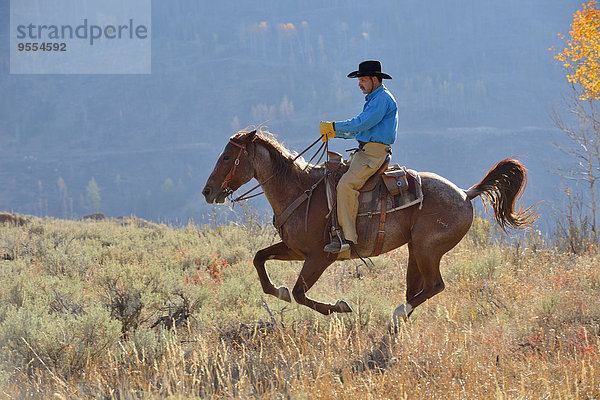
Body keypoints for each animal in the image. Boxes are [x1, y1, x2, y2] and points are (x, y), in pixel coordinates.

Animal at [202, 130, 536, 324]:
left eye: (228, 156)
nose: (207, 191)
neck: (299, 189)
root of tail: (466, 193)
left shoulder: (320, 257)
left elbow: (299, 293)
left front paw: (339, 306)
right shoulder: (294, 249)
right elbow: (260, 260)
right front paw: (278, 290)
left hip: (428, 249)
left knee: (434, 285)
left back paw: (397, 314)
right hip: (416, 251)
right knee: (418, 288)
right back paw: (400, 321)